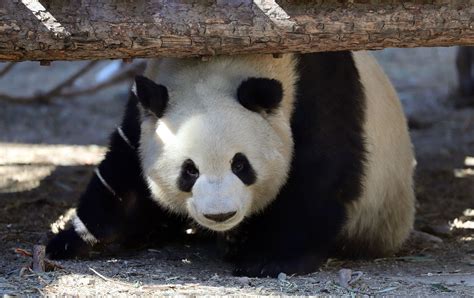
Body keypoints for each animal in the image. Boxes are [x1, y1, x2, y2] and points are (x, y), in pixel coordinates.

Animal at [47, 50, 414, 278]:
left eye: (240, 165)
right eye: (189, 170)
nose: (220, 215)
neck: (219, 64)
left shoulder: (317, 91)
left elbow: (318, 174)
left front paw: (270, 260)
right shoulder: (145, 110)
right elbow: (124, 176)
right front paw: (70, 240)